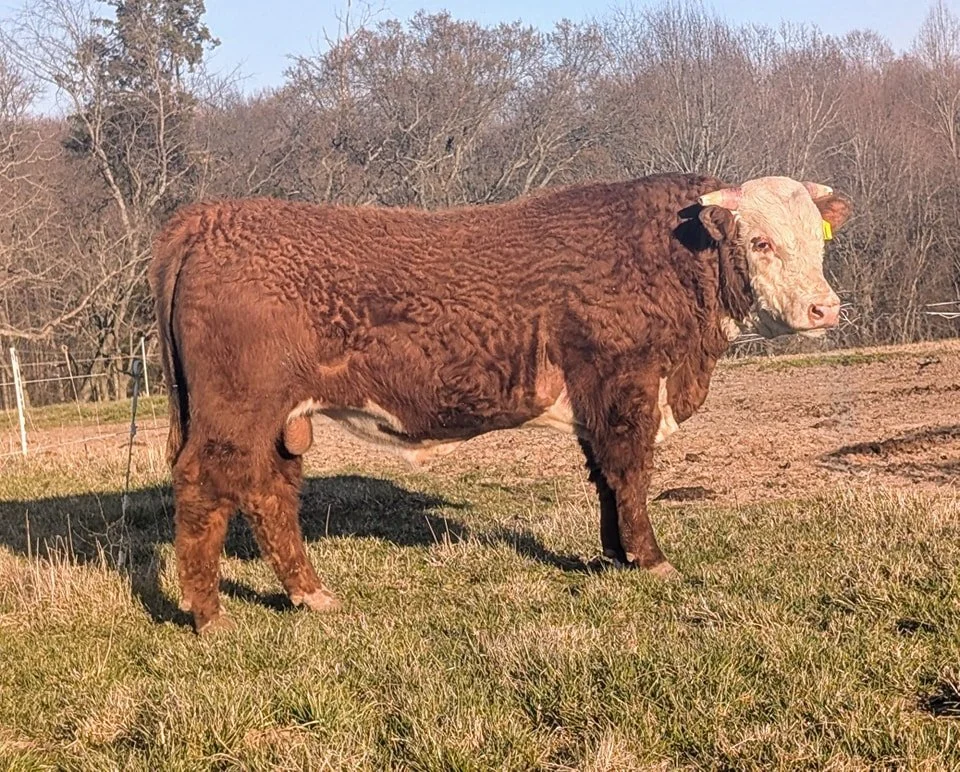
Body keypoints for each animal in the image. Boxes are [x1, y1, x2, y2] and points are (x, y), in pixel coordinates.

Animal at [149, 172, 852, 634]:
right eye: (760, 242)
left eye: (819, 242)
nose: (826, 309)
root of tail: (208, 217)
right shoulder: (625, 384)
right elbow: (630, 473)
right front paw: (651, 561)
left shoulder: (597, 399)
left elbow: (604, 478)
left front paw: (613, 557)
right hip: (233, 413)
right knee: (204, 488)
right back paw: (210, 618)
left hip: (278, 421)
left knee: (270, 493)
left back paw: (312, 596)